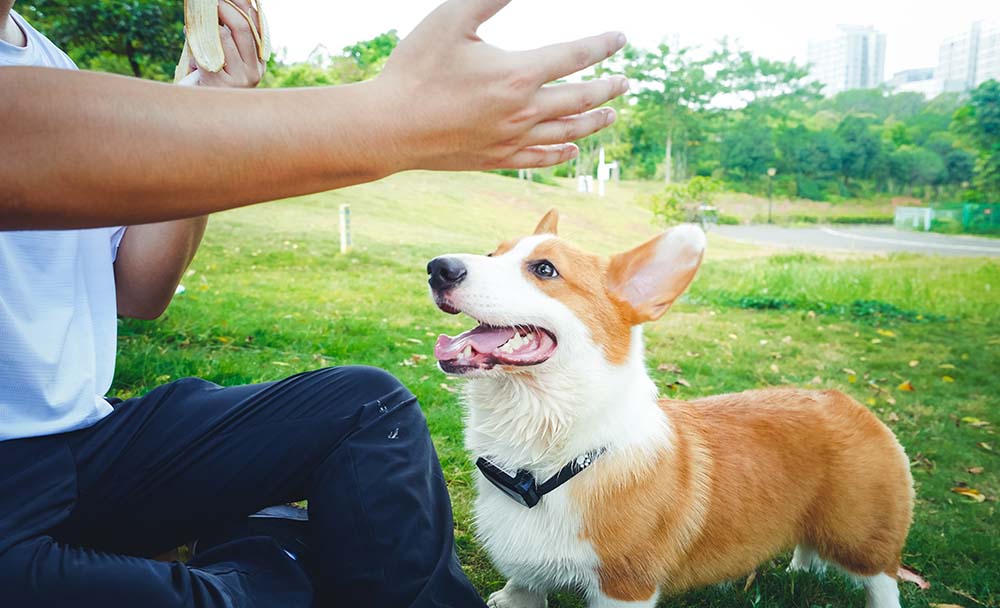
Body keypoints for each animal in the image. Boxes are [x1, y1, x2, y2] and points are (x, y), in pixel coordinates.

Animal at [426, 211, 912, 608]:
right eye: (494, 253)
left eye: (544, 269)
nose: (436, 268)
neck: (542, 461)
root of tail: (844, 399)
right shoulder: (527, 572)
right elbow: (523, 589)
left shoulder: (625, 587)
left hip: (859, 536)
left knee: (882, 579)